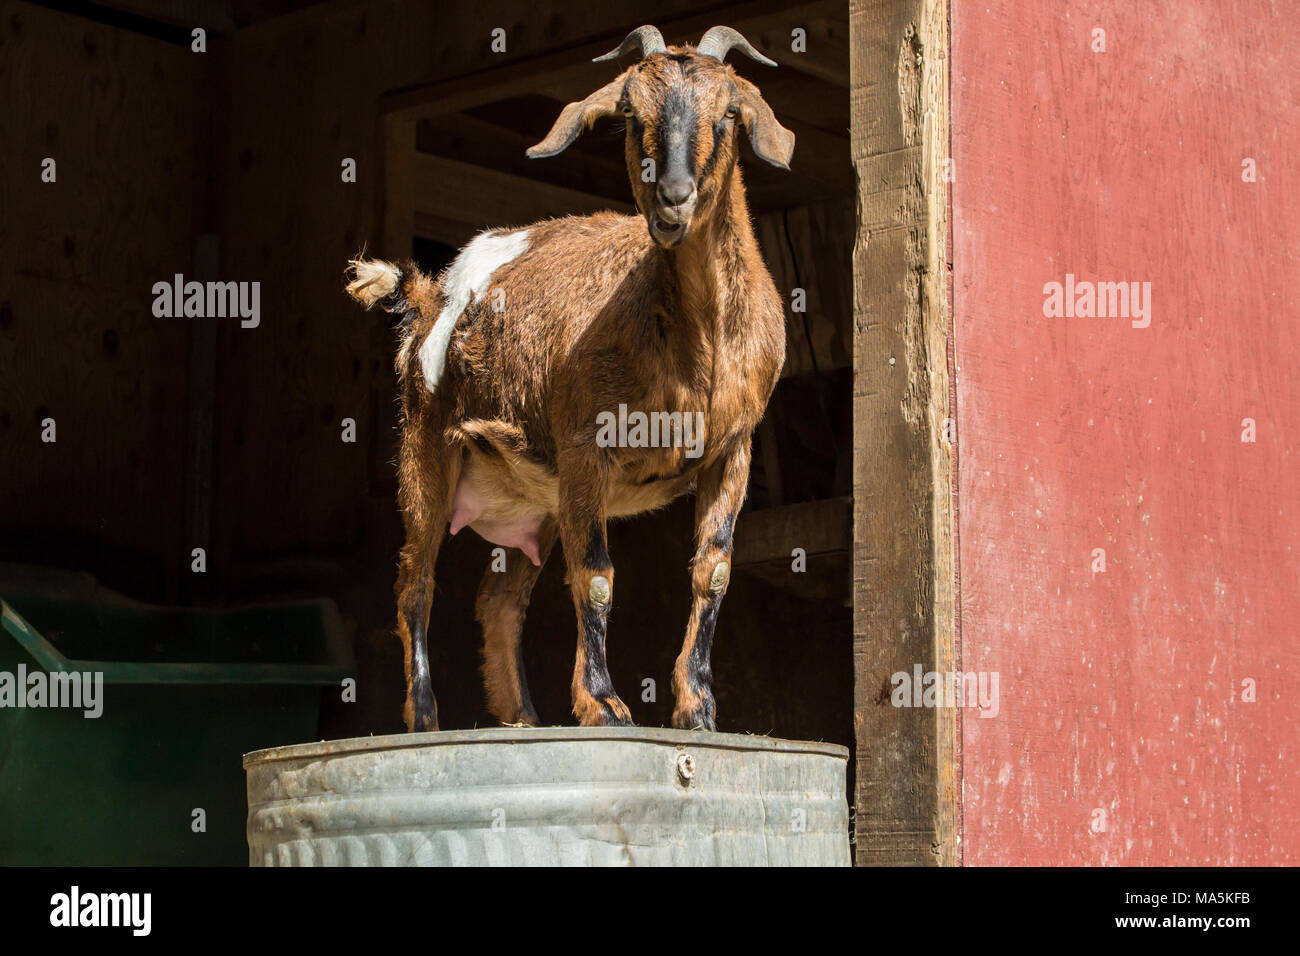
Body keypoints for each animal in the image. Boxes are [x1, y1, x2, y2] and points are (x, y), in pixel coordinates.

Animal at [345, 24, 790, 733]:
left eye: (727, 113)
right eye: (631, 116)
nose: (673, 199)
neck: (694, 343)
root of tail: (425, 298)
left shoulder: (733, 449)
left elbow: (714, 569)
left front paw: (698, 706)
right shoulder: (586, 447)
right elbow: (597, 575)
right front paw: (603, 703)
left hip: (538, 495)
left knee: (498, 599)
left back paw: (523, 720)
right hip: (427, 444)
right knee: (416, 581)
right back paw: (425, 717)